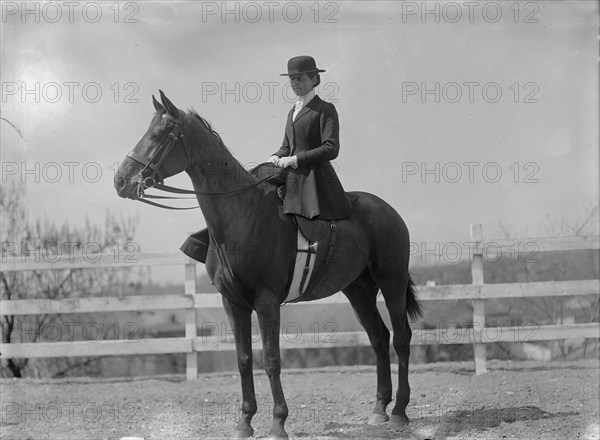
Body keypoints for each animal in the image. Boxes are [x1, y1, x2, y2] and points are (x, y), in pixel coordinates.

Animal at [112, 91, 422, 438]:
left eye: (158, 135)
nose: (121, 180)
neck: (242, 216)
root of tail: (387, 209)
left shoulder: (267, 301)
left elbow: (272, 359)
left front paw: (277, 423)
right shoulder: (233, 303)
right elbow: (244, 358)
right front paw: (244, 421)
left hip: (391, 281)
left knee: (401, 338)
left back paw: (399, 411)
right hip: (358, 290)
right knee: (379, 338)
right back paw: (379, 410)